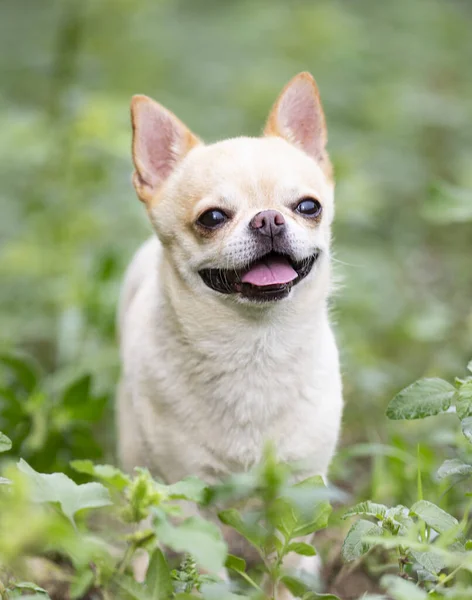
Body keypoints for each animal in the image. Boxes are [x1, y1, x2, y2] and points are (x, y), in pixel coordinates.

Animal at [118, 72, 342, 592]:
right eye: (213, 218)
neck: (254, 348)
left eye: (308, 207)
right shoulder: (186, 490)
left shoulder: (300, 488)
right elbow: (202, 564)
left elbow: (288, 562)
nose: (268, 218)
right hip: (136, 454)